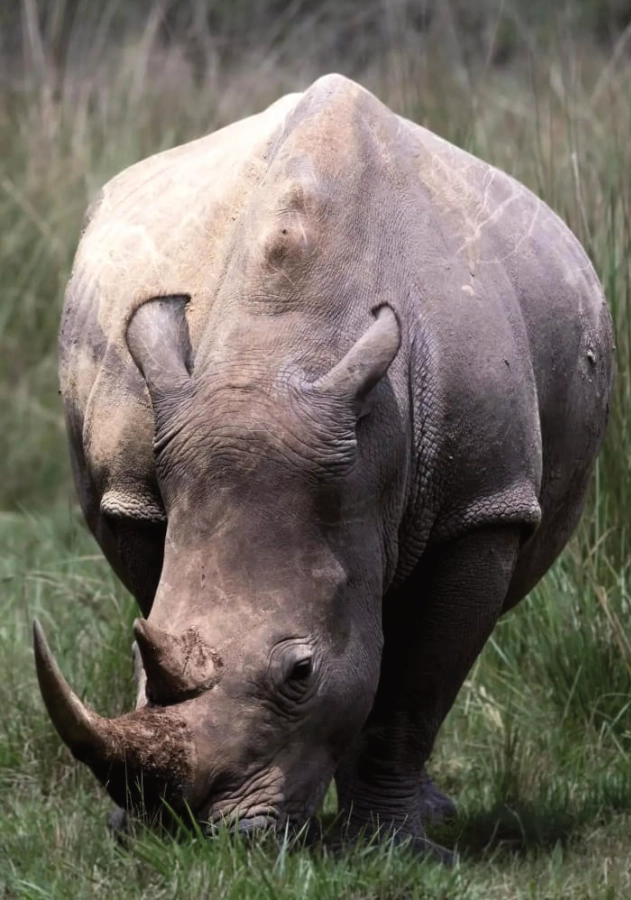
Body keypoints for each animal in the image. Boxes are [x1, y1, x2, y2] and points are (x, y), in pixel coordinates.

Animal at [34, 74, 613, 856]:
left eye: (301, 672)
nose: (196, 835)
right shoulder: (139, 490)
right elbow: (159, 610)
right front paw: (131, 826)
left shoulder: (483, 506)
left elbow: (416, 689)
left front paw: (395, 849)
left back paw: (427, 817)